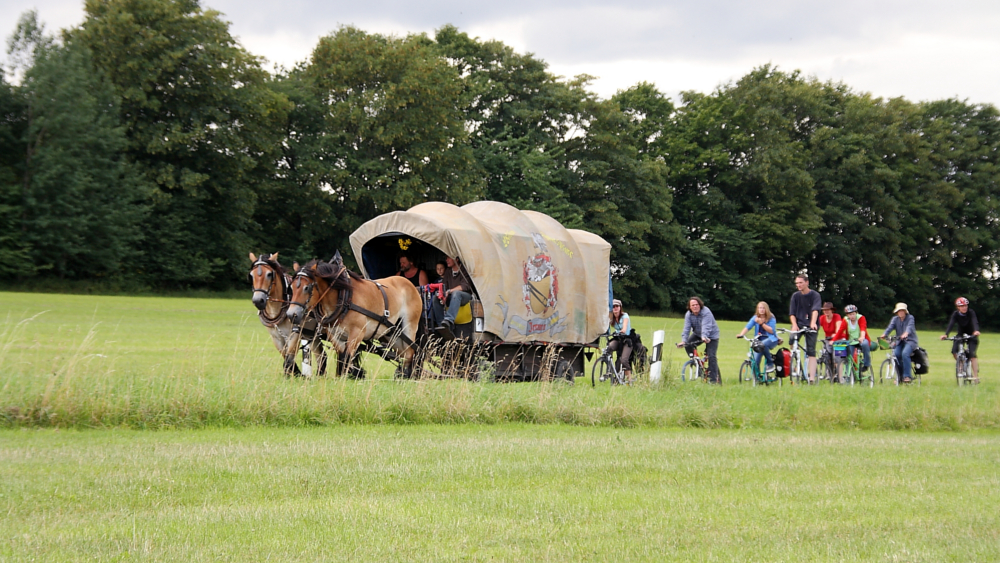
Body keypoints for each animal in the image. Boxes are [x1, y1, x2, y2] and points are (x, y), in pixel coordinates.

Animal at [286, 252, 422, 378]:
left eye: (307, 288)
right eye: (291, 287)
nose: (291, 314)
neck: (344, 298)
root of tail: (410, 285)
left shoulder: (357, 333)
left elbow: (348, 357)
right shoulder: (335, 335)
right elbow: (342, 358)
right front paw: (341, 377)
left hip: (409, 326)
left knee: (410, 352)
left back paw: (406, 377)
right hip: (392, 333)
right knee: (404, 353)